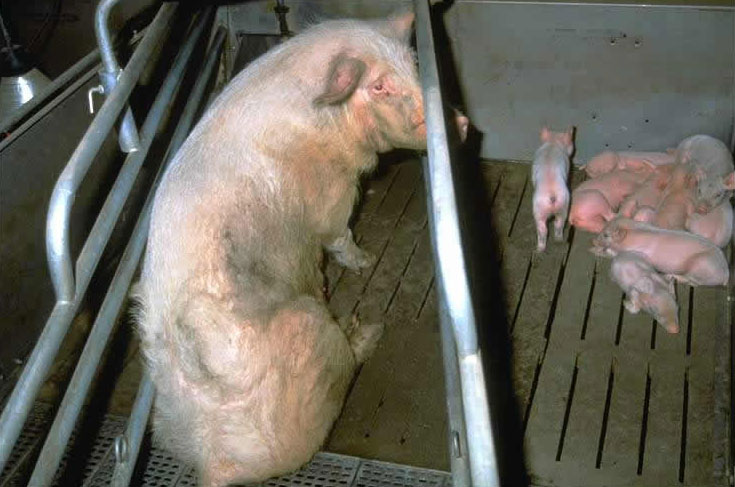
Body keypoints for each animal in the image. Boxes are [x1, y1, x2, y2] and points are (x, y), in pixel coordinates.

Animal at [133, 14, 468, 487]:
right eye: (379, 86)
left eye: (414, 65)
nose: (462, 125)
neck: (330, 121)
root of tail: (214, 459)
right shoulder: (333, 192)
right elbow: (339, 233)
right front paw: (364, 261)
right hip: (310, 332)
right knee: (341, 365)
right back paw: (368, 329)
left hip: (165, 425)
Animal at [592, 218, 729, 286]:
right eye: (603, 228)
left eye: (606, 235)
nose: (593, 240)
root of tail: (725, 274)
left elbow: (612, 253)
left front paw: (594, 250)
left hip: (700, 265)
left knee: (693, 282)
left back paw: (669, 276)